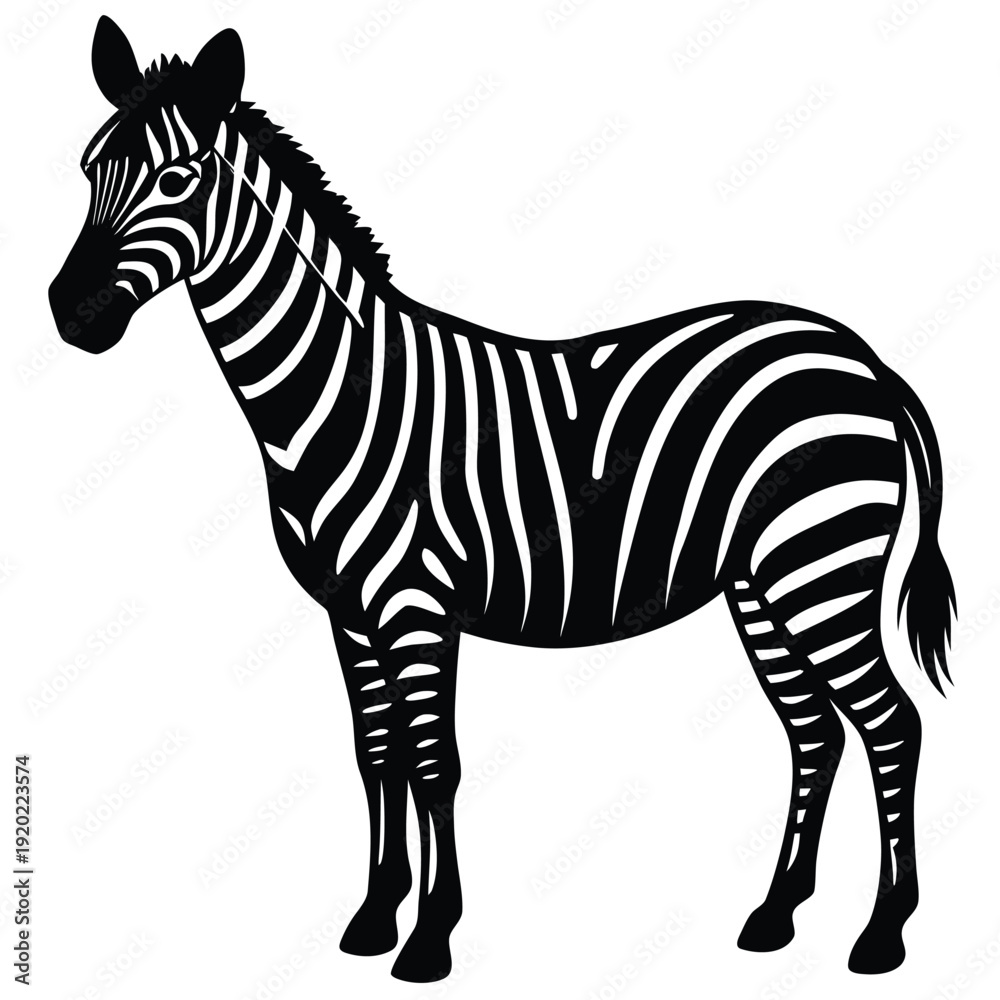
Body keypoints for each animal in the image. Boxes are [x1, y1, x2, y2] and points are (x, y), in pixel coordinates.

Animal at [49, 18, 956, 984]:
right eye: (87, 168)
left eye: (175, 180)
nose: (70, 313)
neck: (337, 398)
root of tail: (860, 354)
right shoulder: (348, 613)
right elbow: (377, 757)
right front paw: (373, 918)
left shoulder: (414, 605)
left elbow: (433, 762)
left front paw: (429, 939)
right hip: (761, 583)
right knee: (815, 730)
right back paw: (776, 914)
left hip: (819, 568)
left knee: (891, 724)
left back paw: (883, 933)